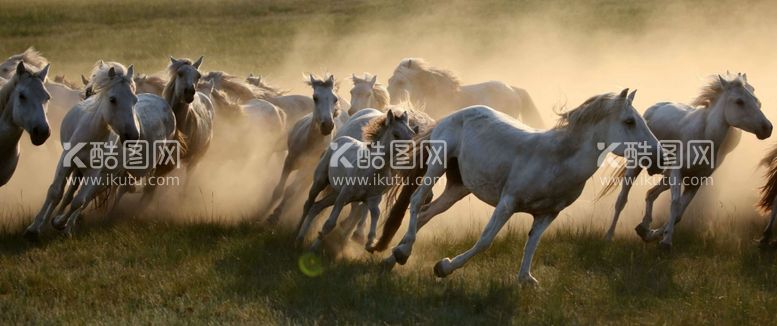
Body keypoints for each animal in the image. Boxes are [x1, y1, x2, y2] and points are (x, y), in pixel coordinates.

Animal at [378, 90, 656, 286]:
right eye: (629, 121)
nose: (657, 155)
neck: (557, 160)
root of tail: (452, 115)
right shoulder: (508, 203)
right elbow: (485, 240)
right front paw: (443, 267)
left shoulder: (547, 213)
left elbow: (532, 243)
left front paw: (526, 279)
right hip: (438, 163)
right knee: (416, 201)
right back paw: (402, 252)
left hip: (459, 187)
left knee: (427, 213)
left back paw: (393, 258)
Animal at [600, 74, 768, 248]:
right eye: (739, 101)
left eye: (756, 100)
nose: (767, 128)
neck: (703, 136)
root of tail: (653, 109)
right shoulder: (676, 172)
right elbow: (675, 204)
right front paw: (666, 242)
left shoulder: (696, 181)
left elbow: (679, 213)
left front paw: (654, 234)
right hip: (637, 166)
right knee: (622, 199)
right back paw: (609, 236)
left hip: (666, 177)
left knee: (650, 194)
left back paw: (644, 228)